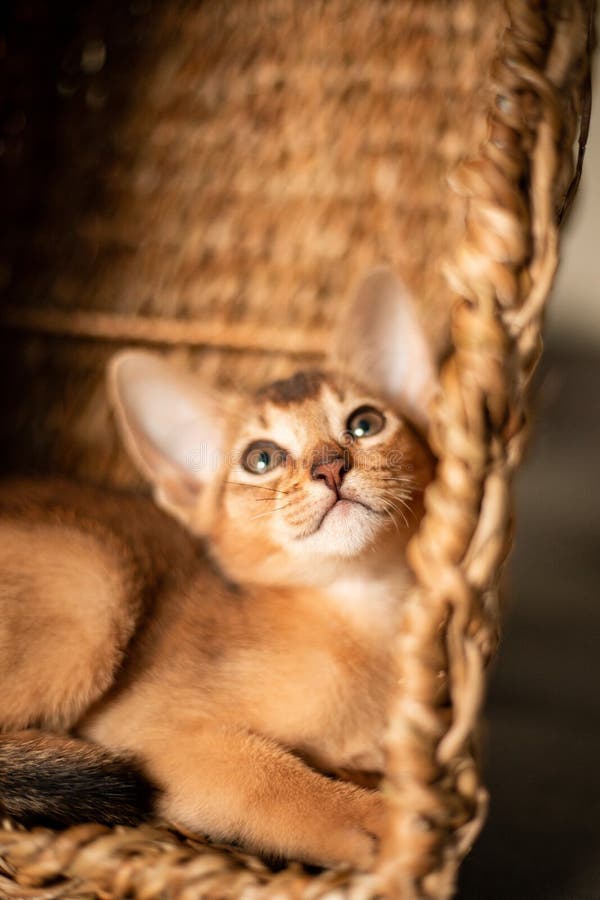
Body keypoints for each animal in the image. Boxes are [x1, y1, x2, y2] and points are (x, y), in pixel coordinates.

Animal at [0, 270, 436, 868]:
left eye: (366, 423)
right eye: (261, 458)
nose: (330, 466)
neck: (360, 613)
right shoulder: (150, 728)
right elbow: (264, 774)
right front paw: (380, 821)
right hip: (90, 580)